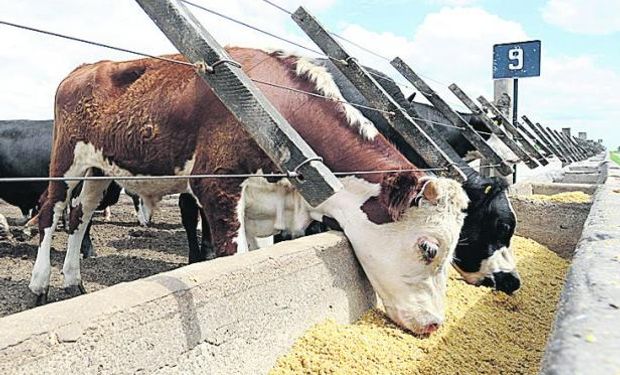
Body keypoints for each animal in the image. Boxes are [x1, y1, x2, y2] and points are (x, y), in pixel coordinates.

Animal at [29, 47, 464, 334]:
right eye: (429, 248)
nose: (435, 325)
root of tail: (85, 67)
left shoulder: (264, 203)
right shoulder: (216, 187)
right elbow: (232, 257)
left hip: (99, 170)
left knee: (80, 216)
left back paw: (73, 280)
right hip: (66, 161)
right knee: (52, 212)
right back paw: (40, 284)